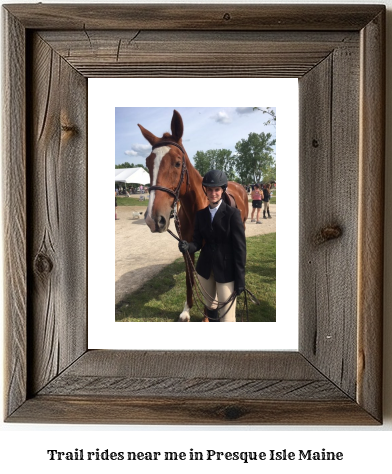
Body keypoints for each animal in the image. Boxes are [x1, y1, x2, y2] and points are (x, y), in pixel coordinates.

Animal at [138, 109, 248, 320]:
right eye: (148, 163)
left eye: (177, 163)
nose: (153, 219)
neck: (195, 210)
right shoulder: (186, 248)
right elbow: (191, 279)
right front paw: (187, 309)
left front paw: (206, 316)